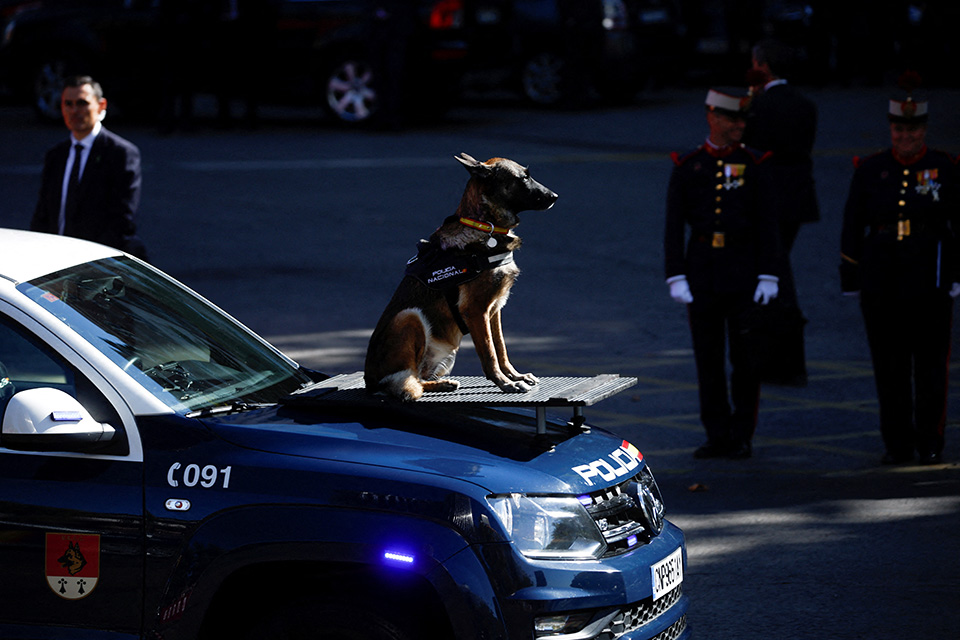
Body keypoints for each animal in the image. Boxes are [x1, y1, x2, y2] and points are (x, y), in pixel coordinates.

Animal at [364, 154, 560, 400]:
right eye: (523, 177)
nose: (555, 196)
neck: (485, 225)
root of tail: (369, 382)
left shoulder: (494, 310)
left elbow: (501, 348)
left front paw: (515, 376)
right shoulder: (476, 311)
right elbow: (489, 353)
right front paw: (505, 383)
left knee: (418, 379)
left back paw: (442, 384)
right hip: (409, 316)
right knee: (409, 382)